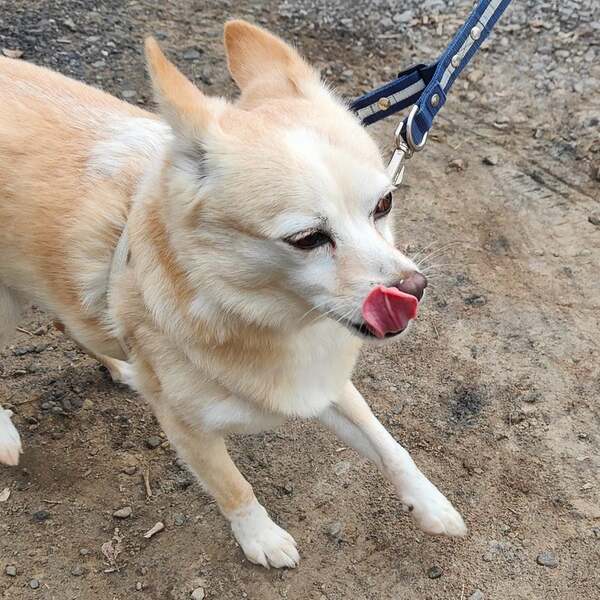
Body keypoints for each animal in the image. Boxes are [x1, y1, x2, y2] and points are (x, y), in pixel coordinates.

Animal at [0, 20, 466, 568]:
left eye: (384, 204)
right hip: (4, 306)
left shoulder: (324, 382)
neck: (273, 319)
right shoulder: (186, 428)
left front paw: (430, 503)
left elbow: (387, 442)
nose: (414, 289)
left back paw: (118, 364)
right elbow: (233, 488)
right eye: (307, 239)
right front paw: (260, 537)